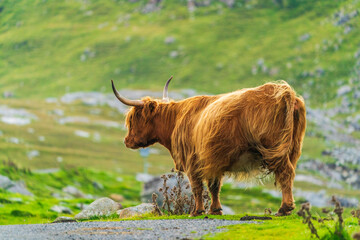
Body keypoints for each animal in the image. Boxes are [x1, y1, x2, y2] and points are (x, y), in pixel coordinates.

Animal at [112, 78, 306, 217]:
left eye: (133, 119)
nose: (126, 141)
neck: (175, 120)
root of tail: (284, 91)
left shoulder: (192, 161)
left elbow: (197, 187)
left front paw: (196, 212)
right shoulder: (213, 159)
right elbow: (214, 187)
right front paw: (215, 210)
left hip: (273, 149)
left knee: (285, 173)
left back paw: (284, 208)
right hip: (292, 149)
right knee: (289, 175)